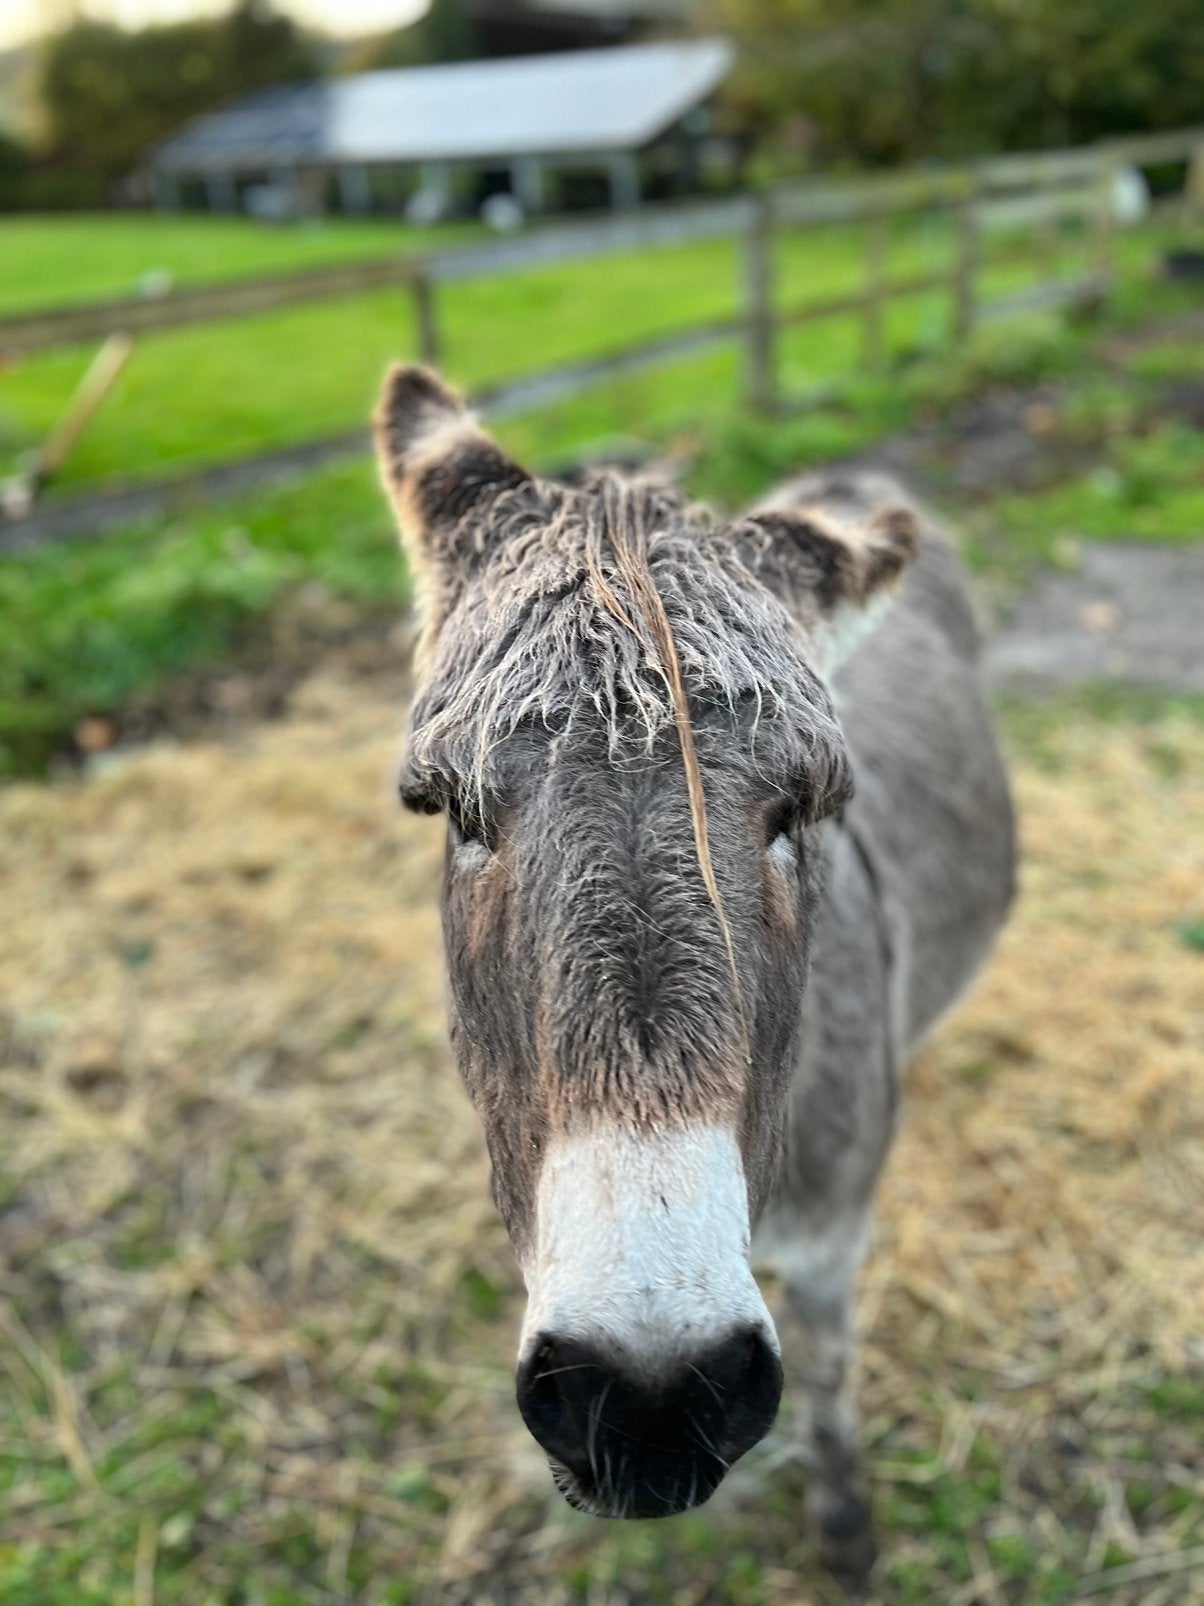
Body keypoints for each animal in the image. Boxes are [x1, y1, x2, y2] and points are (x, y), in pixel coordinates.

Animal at [375, 364, 1015, 1569]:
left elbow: (830, 1372)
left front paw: (846, 1526)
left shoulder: (828, 1249)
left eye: (800, 813)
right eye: (455, 812)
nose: (648, 1404)